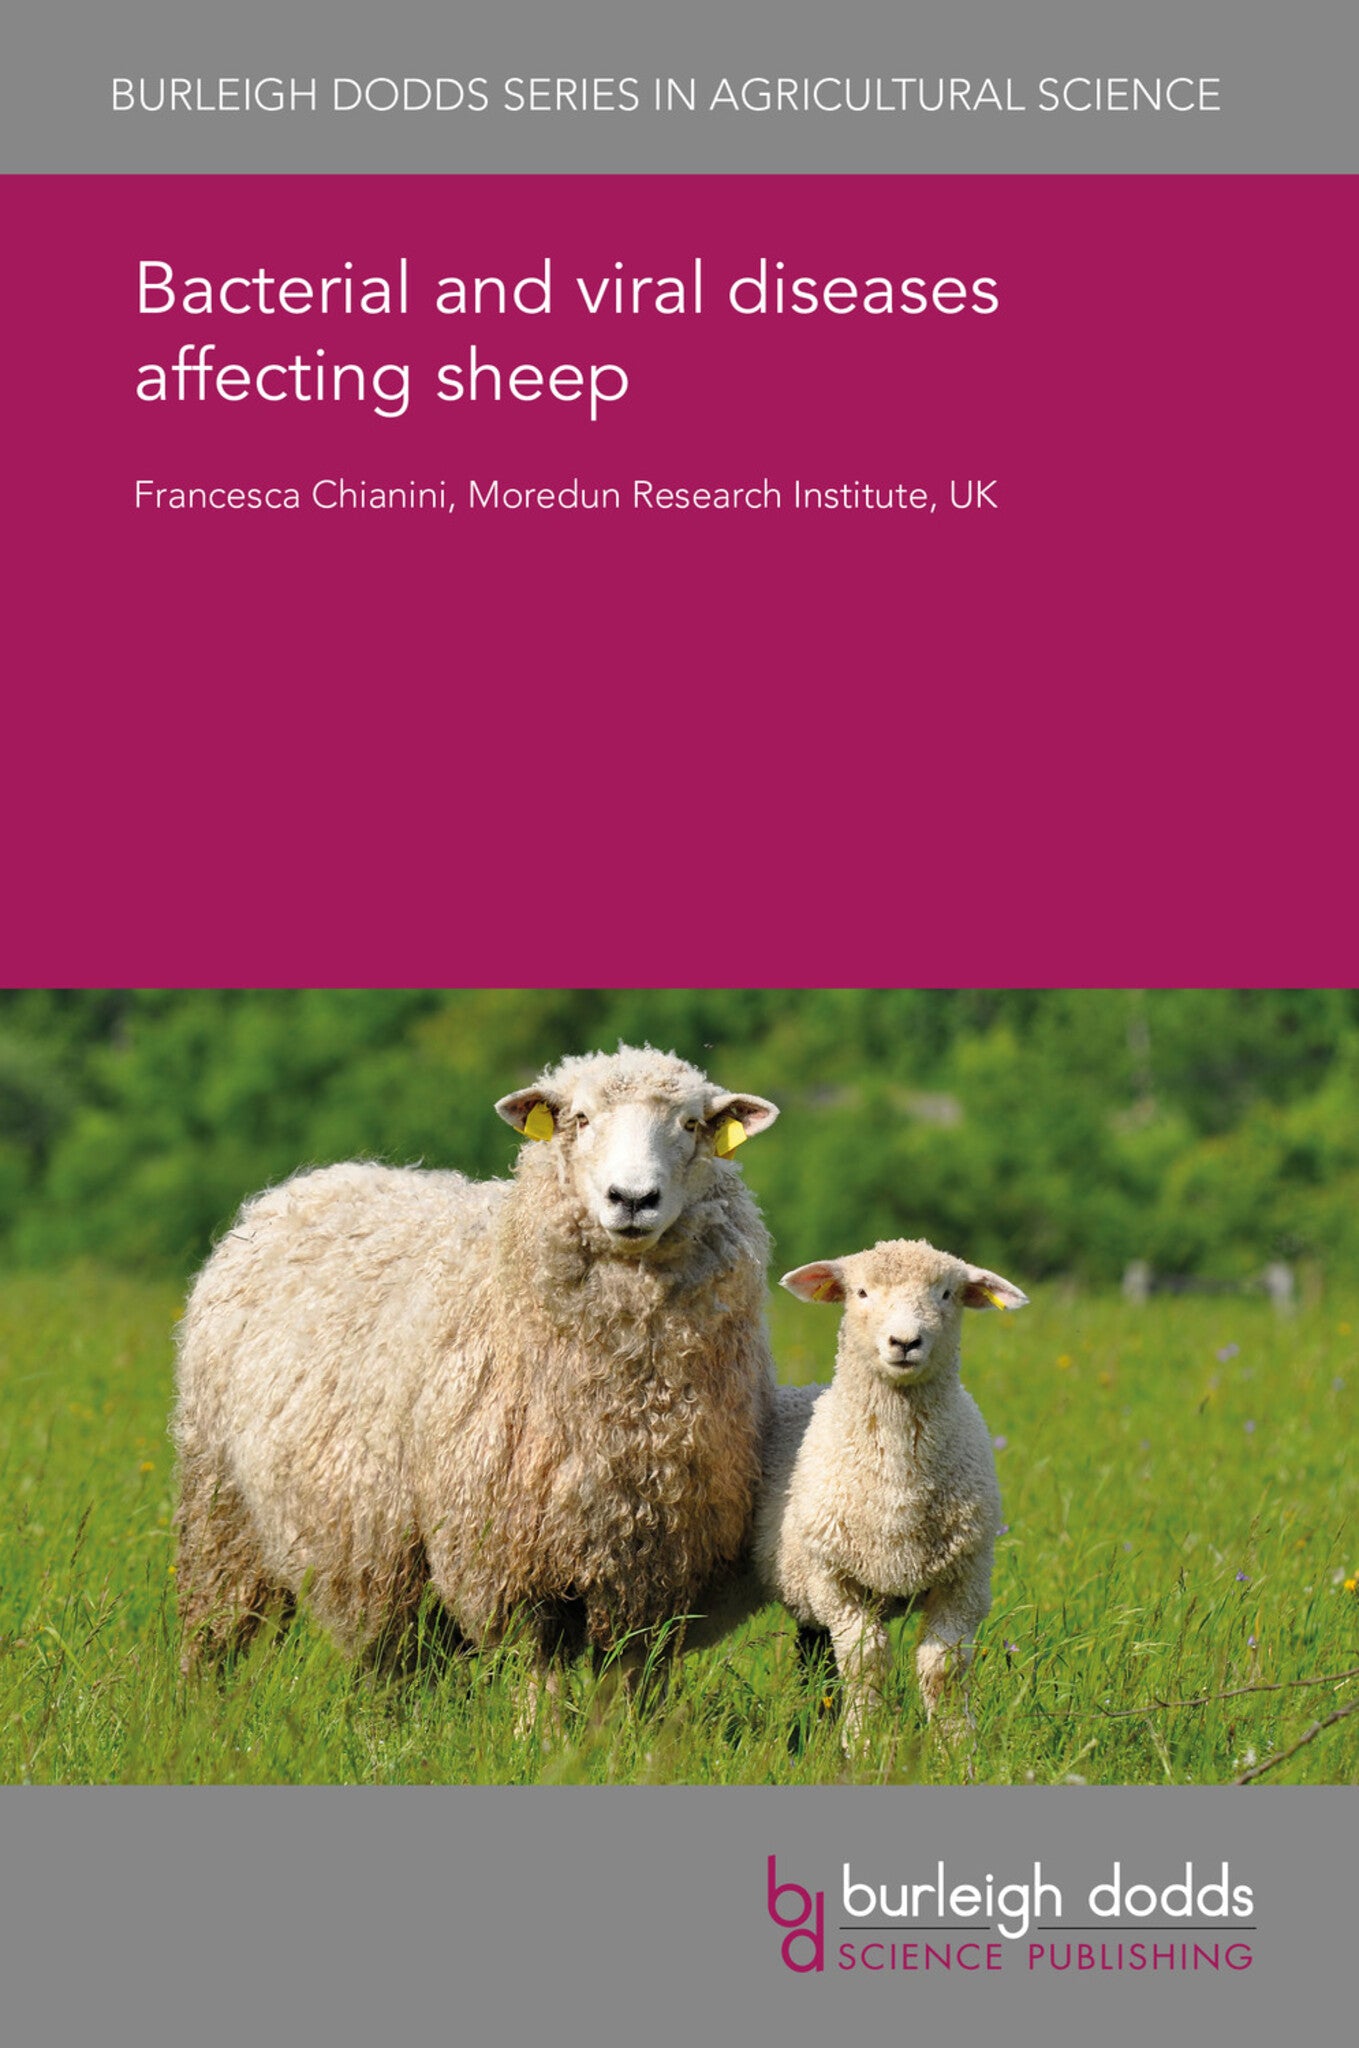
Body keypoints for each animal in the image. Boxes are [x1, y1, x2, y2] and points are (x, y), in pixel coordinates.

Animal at [172, 1045, 780, 1689]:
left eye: (690, 1124)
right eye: (581, 1118)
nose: (633, 1199)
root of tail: (306, 1182)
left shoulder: (651, 1572)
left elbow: (626, 1687)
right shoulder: (510, 1566)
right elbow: (540, 1682)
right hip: (220, 1505)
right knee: (212, 1634)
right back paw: (197, 1704)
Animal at [754, 1239, 1027, 1745]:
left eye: (946, 1293)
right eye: (861, 1292)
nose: (904, 1343)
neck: (898, 1488)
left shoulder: (965, 1581)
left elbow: (942, 1668)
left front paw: (956, 1746)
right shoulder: (835, 1580)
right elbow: (867, 1662)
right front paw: (862, 1741)